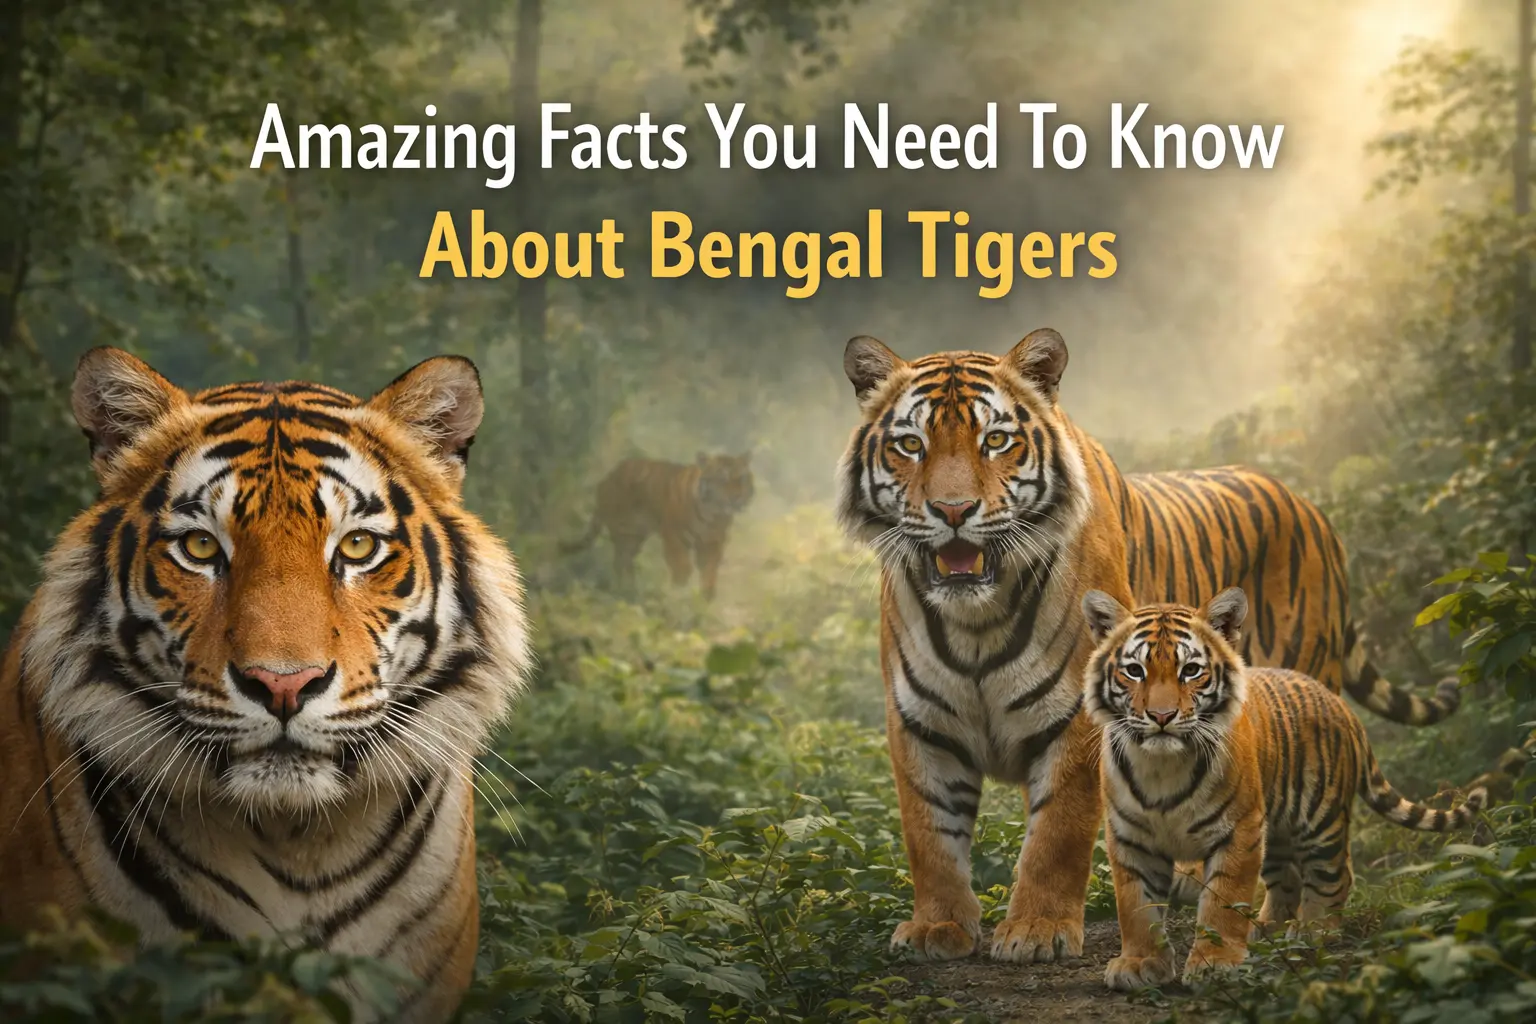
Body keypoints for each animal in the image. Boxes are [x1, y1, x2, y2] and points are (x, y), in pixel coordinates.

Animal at [564, 453, 754, 599]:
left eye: (742, 478)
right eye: (722, 479)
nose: (737, 497)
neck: (713, 515)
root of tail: (608, 476)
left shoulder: (713, 542)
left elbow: (709, 569)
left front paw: (705, 598)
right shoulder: (674, 536)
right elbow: (682, 565)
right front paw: (679, 591)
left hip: (635, 537)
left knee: (625, 561)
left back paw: (631, 590)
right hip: (623, 531)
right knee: (620, 561)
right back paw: (625, 590)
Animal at [834, 328, 1461, 965]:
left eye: (996, 440)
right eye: (911, 444)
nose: (953, 511)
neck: (976, 619)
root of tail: (1311, 508)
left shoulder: (1078, 721)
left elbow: (1055, 835)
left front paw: (1036, 930)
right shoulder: (921, 722)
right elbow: (929, 835)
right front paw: (938, 927)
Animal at [1081, 587, 1485, 989]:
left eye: (1190, 670)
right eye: (1135, 671)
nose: (1162, 717)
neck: (1162, 765)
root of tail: (1340, 704)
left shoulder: (1238, 830)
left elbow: (1223, 899)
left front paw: (1216, 963)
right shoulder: (1131, 837)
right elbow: (1137, 906)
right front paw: (1139, 963)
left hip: (1320, 820)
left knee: (1335, 875)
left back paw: (1313, 931)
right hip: (1276, 829)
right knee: (1287, 878)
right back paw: (1265, 932)